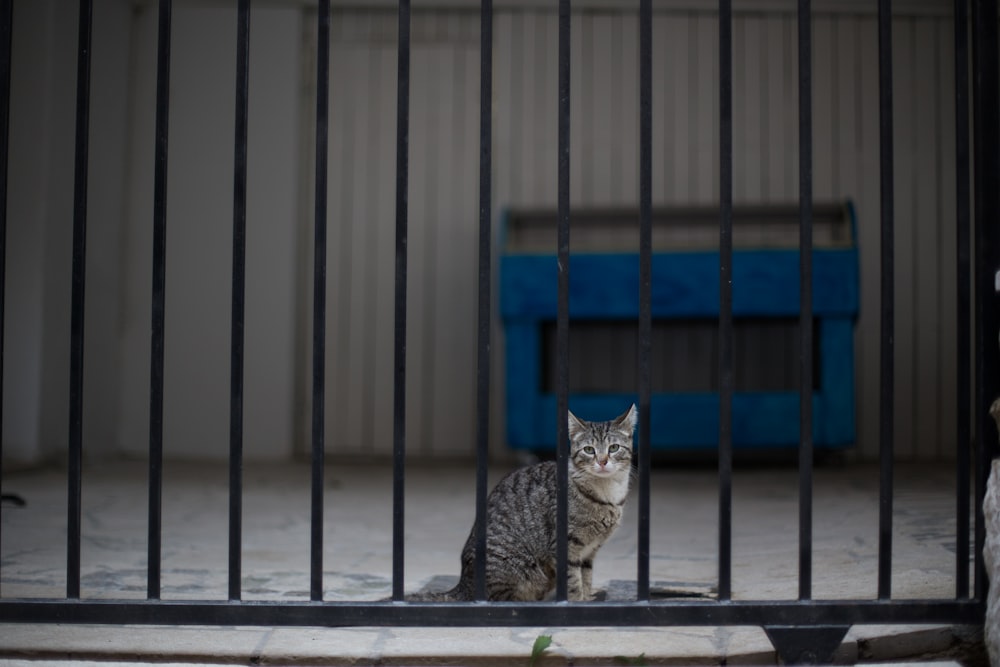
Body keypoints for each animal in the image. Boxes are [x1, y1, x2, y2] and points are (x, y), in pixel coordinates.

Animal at [416, 404, 636, 604]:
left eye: (614, 448)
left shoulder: (590, 551)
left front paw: (588, 596)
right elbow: (573, 582)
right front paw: (577, 601)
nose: (602, 461)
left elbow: (586, 578)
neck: (607, 494)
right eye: (589, 450)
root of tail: (463, 585)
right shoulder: (566, 546)